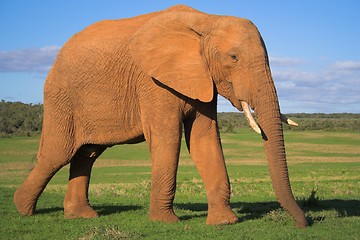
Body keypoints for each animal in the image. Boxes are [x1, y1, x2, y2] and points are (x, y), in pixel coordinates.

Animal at [13, 4, 306, 228]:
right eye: (233, 57)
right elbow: (168, 138)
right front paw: (166, 222)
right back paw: (22, 209)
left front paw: (225, 222)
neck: (206, 20)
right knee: (58, 153)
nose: (302, 223)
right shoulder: (153, 81)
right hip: (62, 97)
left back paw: (81, 216)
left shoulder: (202, 78)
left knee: (87, 153)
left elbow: (204, 140)